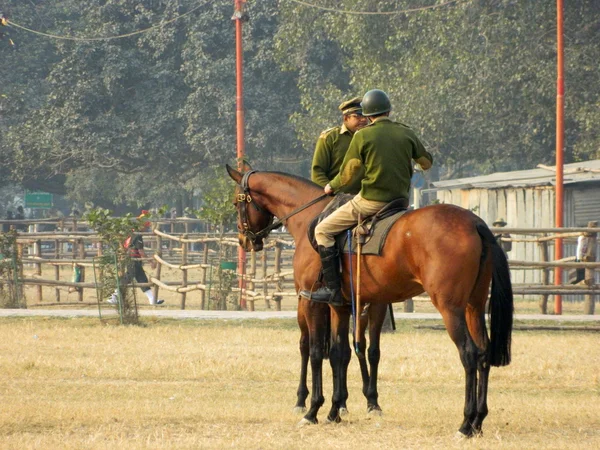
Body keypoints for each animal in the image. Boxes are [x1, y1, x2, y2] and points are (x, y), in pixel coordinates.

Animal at [226, 163, 510, 438]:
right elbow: (339, 352)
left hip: (450, 309)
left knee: (469, 354)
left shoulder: (312, 301)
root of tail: (475, 223)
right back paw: (479, 421)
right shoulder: (340, 306)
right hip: (473, 307)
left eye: (237, 203)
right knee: (483, 353)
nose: (244, 240)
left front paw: (314, 411)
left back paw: (465, 424)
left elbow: (318, 352)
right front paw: (335, 410)